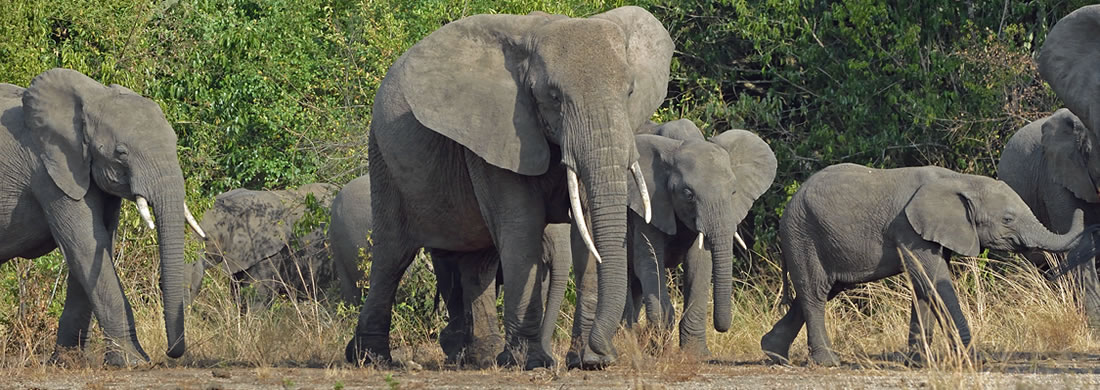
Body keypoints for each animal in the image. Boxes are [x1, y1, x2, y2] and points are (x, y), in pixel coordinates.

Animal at [0, 69, 205, 366]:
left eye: (176, 143)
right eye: (121, 153)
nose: (171, 353)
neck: (93, 95)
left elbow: (98, 246)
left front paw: (68, 362)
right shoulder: (47, 171)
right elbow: (84, 245)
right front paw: (134, 362)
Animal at [761, 163, 1095, 366]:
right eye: (1008, 220)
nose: (1082, 207)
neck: (960, 179)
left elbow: (924, 287)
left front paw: (918, 362)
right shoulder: (908, 228)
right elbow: (933, 281)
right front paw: (973, 359)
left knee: (825, 290)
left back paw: (773, 353)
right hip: (803, 233)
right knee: (815, 292)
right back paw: (827, 362)